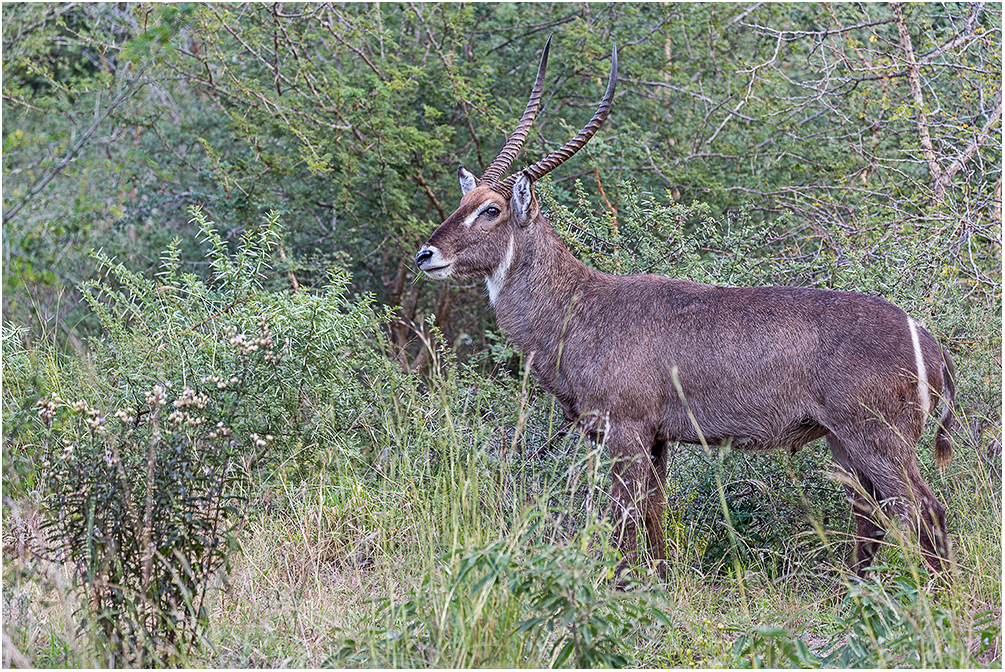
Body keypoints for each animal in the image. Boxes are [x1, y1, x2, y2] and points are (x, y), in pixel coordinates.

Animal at [416, 40, 956, 578]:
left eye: (491, 210)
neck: (579, 306)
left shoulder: (627, 430)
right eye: (463, 202)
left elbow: (623, 515)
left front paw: (624, 585)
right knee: (871, 515)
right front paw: (660, 580)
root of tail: (929, 341)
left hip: (877, 437)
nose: (426, 254)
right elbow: (653, 512)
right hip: (842, 442)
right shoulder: (657, 439)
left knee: (924, 507)